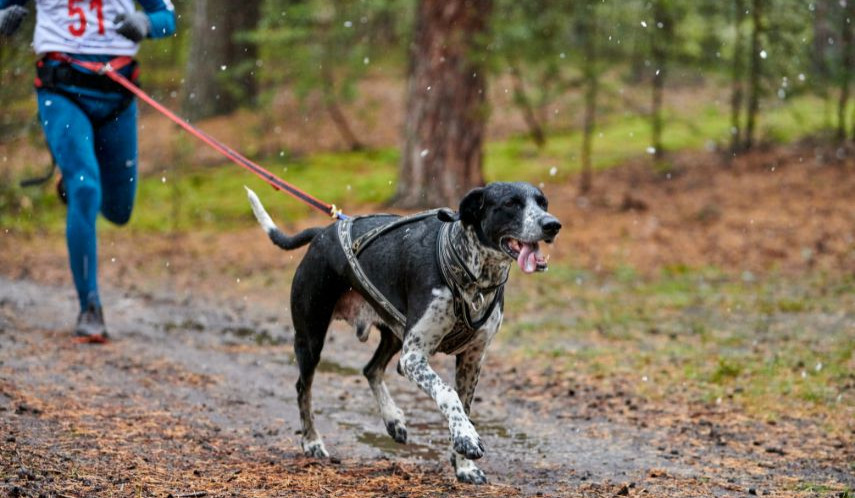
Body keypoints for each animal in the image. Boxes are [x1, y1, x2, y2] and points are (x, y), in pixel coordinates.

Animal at [246, 182, 560, 482]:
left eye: (543, 202)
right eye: (510, 203)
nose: (552, 224)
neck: (472, 275)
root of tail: (323, 233)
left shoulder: (471, 359)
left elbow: (464, 407)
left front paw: (464, 466)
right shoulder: (413, 358)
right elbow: (449, 395)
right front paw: (466, 438)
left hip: (394, 334)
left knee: (370, 369)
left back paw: (393, 419)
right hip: (311, 338)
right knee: (304, 388)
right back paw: (312, 442)